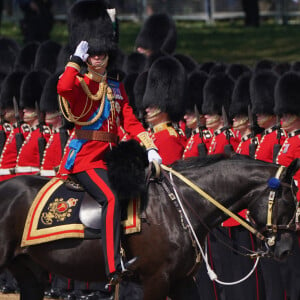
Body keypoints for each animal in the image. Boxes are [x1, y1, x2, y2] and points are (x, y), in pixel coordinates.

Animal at [0, 152, 298, 300]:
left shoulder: (182, 281)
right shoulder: (157, 279)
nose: (285, 250)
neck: (179, 206)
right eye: (288, 200)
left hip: (29, 270)